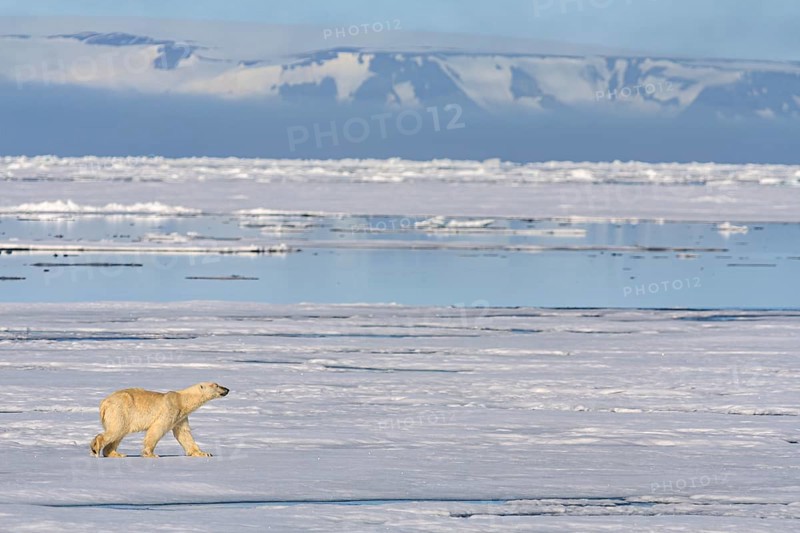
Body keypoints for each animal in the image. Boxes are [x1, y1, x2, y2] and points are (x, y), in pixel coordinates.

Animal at [90, 382, 229, 458]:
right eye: (216, 385)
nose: (227, 389)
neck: (182, 400)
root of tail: (104, 404)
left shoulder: (181, 417)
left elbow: (184, 434)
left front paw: (204, 453)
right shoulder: (170, 409)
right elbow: (157, 429)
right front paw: (151, 454)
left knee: (118, 434)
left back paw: (116, 454)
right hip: (120, 410)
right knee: (116, 430)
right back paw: (95, 448)